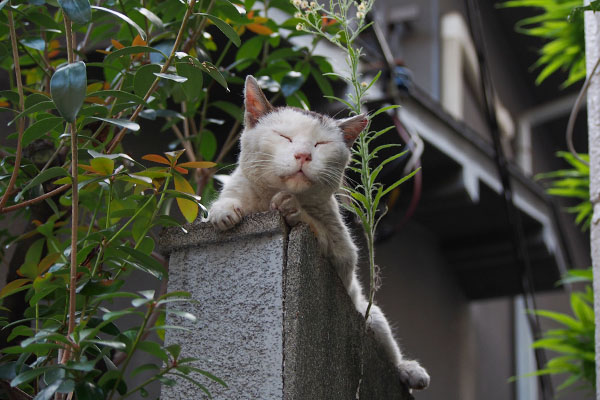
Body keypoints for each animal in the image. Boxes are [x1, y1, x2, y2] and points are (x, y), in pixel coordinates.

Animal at [209, 76, 428, 390]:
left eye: (320, 144)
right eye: (285, 137)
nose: (303, 155)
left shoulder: (344, 257)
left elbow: (324, 235)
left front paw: (294, 210)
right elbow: (229, 200)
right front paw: (223, 210)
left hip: (371, 315)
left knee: (391, 352)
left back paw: (410, 371)